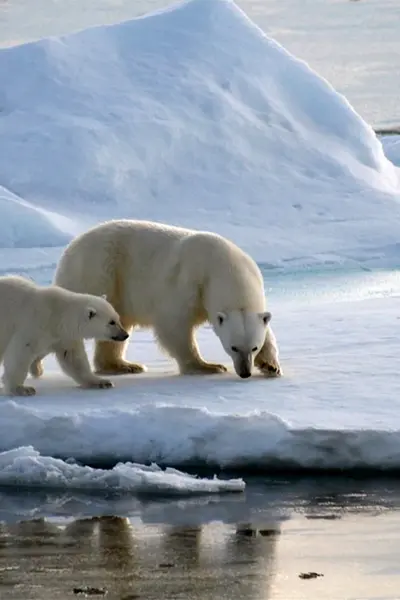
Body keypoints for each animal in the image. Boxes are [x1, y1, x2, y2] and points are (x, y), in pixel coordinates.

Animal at [35, 220, 284, 380]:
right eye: (233, 347)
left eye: (253, 347)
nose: (245, 372)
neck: (224, 266)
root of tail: (70, 248)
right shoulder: (189, 283)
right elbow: (174, 325)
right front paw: (207, 366)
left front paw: (271, 366)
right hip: (99, 272)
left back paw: (124, 365)